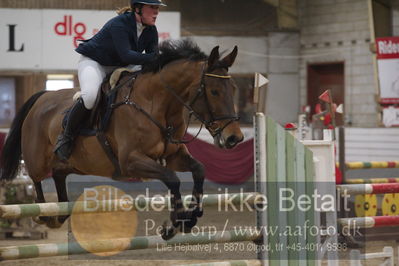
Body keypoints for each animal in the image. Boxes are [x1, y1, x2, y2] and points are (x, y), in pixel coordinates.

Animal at [0, 39, 244, 241]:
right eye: (214, 91)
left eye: (233, 88)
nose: (234, 138)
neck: (156, 104)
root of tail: (42, 97)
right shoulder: (131, 161)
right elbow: (171, 178)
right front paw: (176, 222)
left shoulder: (174, 155)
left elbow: (199, 169)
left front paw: (192, 216)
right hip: (37, 159)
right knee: (36, 180)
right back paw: (42, 216)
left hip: (71, 163)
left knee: (59, 177)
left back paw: (58, 216)